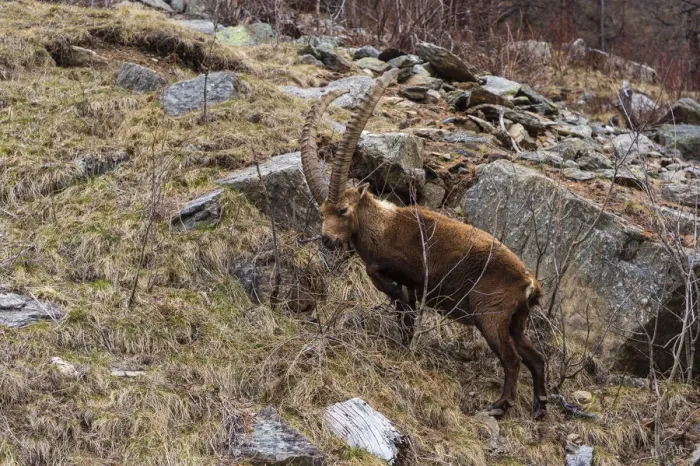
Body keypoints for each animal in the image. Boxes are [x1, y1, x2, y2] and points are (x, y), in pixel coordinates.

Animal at [299, 69, 547, 418]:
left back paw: (500, 406)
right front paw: (403, 341)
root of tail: (529, 283)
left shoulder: (411, 271)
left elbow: (386, 283)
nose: (328, 239)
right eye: (322, 212)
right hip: (515, 321)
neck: (383, 226)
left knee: (512, 359)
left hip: (491, 315)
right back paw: (540, 406)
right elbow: (404, 314)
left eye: (344, 210)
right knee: (536, 357)